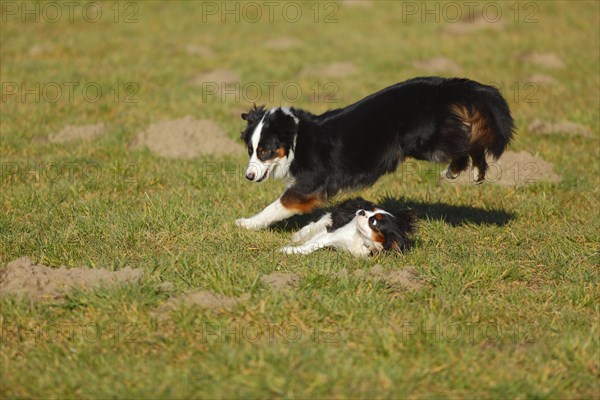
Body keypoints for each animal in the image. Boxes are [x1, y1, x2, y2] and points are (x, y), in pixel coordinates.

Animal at [237, 76, 512, 230]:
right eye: (250, 150)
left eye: (265, 151)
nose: (248, 176)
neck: (296, 140)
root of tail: (442, 86)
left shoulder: (307, 186)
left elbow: (275, 206)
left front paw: (248, 223)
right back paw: (474, 172)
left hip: (426, 143)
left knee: (467, 142)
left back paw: (460, 170)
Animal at [280, 198, 412, 258]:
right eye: (371, 210)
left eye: (373, 222)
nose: (362, 210)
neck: (362, 239)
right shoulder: (331, 235)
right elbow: (310, 246)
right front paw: (288, 250)